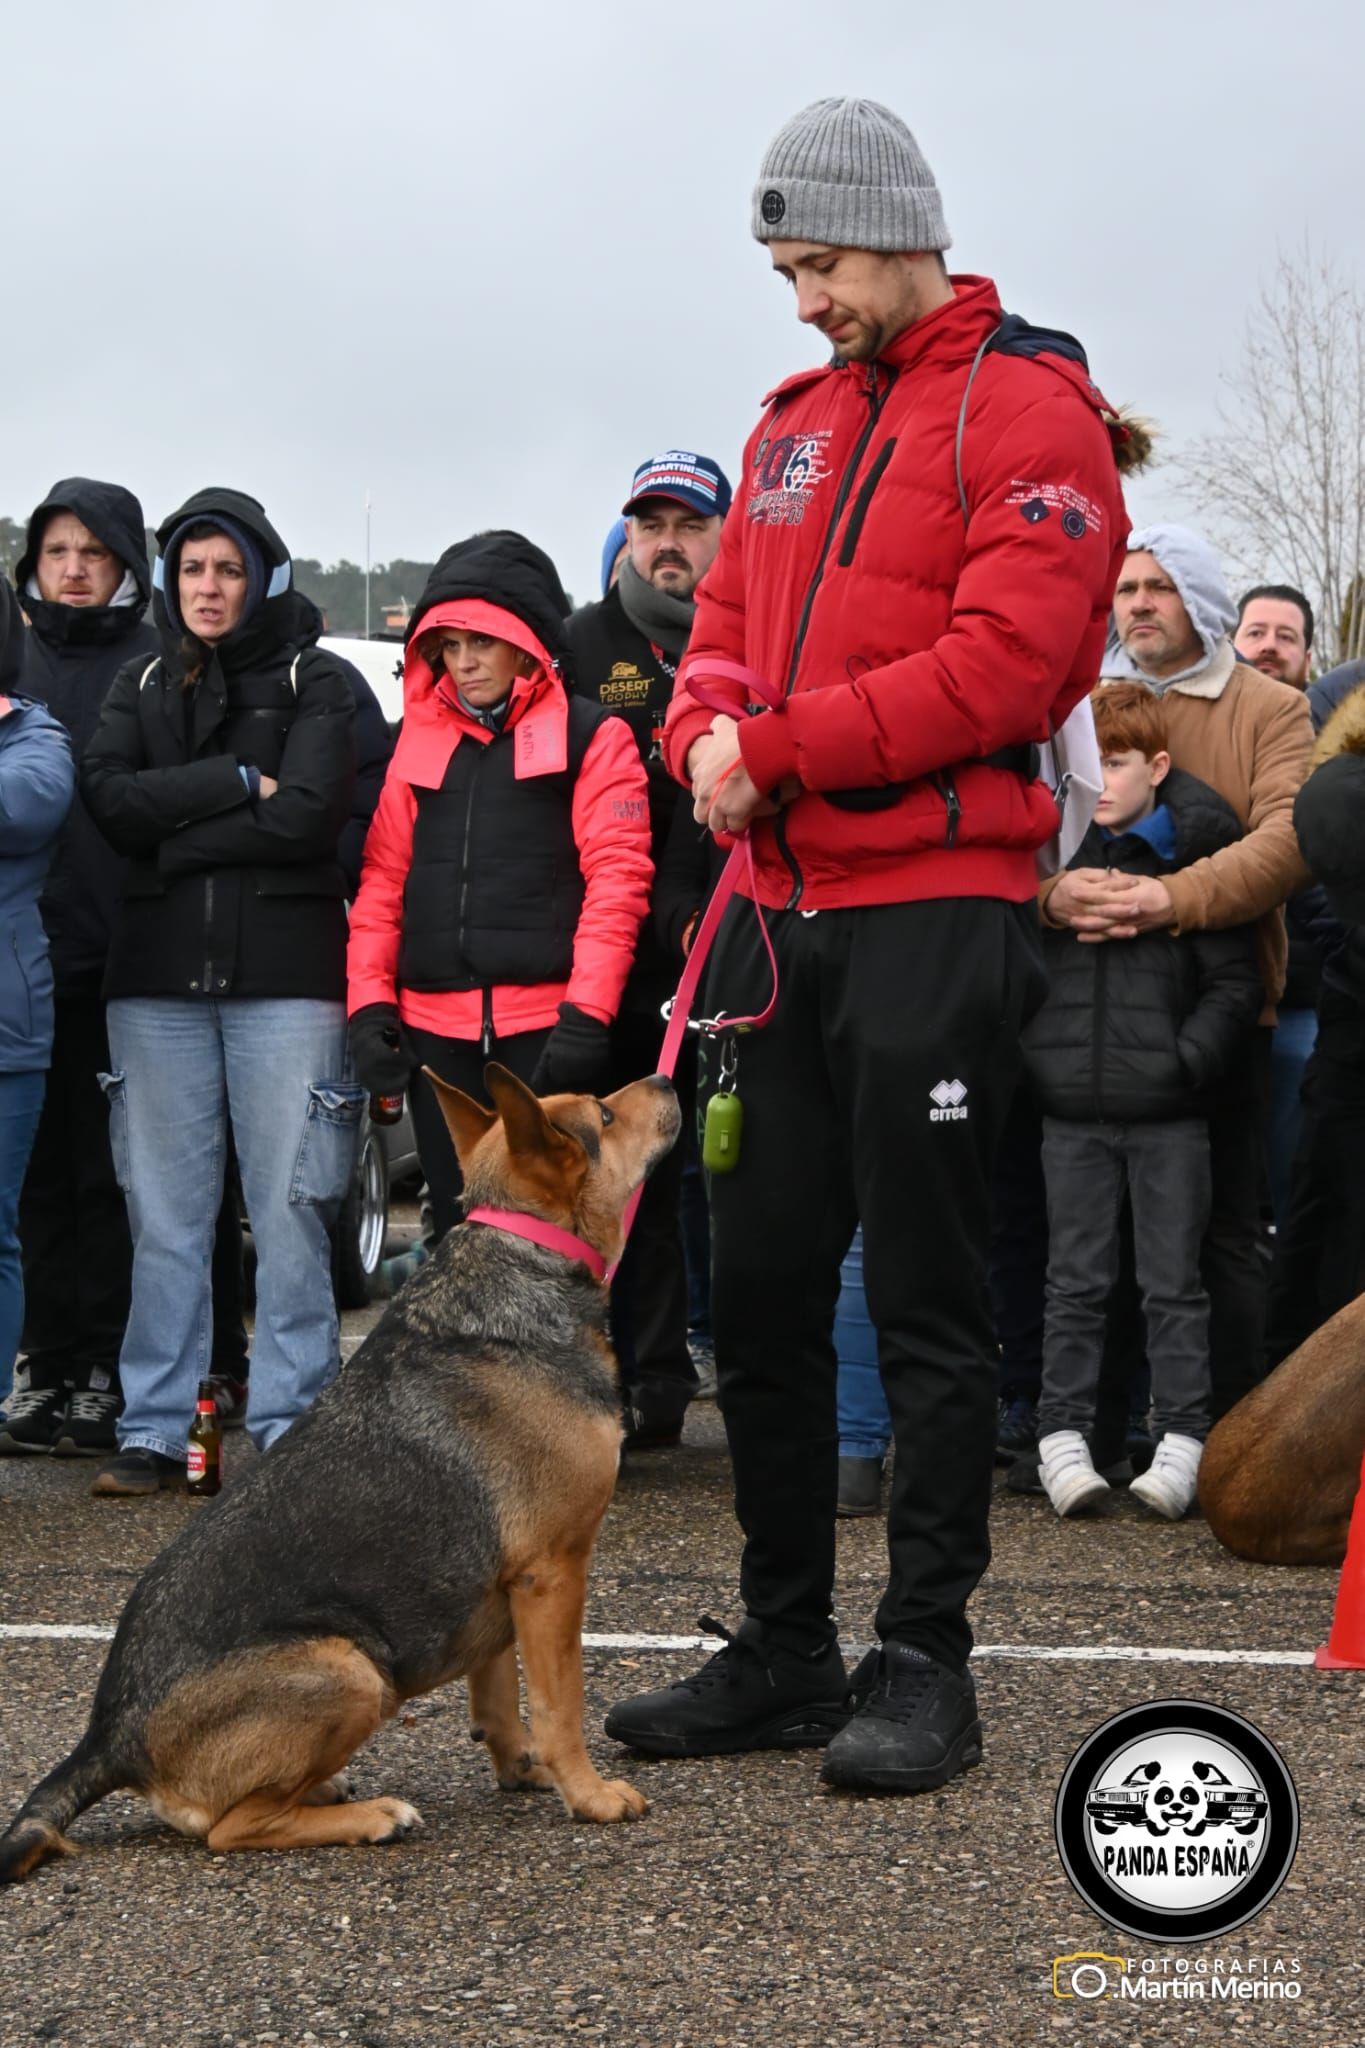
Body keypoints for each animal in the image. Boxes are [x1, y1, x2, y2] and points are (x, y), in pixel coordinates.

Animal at [0, 1064, 683, 1875]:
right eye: (604, 1114)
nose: (670, 1077)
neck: (521, 1263)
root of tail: (109, 1738)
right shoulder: (551, 1575)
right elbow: (560, 1705)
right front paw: (588, 1794)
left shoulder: (502, 1585)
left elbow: (497, 1696)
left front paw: (521, 1768)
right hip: (350, 1669)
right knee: (232, 1827)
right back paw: (372, 1816)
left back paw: (327, 1791)